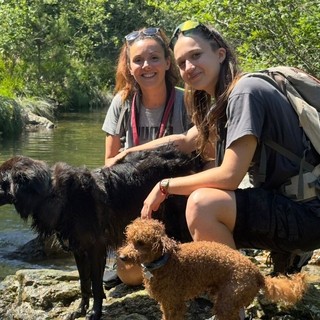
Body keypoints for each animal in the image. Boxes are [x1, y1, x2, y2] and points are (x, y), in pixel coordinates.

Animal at [0, 146, 194, 320]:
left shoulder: (96, 248)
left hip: (178, 222)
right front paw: (80, 310)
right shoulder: (78, 249)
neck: (53, 194)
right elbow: (84, 283)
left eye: (0, 180)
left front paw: (95, 313)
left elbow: (95, 283)